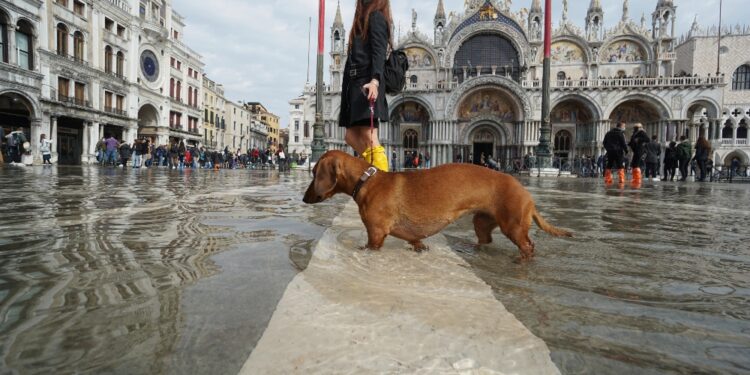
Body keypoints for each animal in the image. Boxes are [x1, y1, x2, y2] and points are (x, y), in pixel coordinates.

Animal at [302, 151, 572, 260]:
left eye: (314, 173)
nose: (304, 199)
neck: (367, 180)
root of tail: (527, 193)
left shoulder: (376, 236)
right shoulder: (415, 239)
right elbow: (418, 243)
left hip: (514, 227)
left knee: (528, 247)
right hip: (482, 224)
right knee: (486, 241)